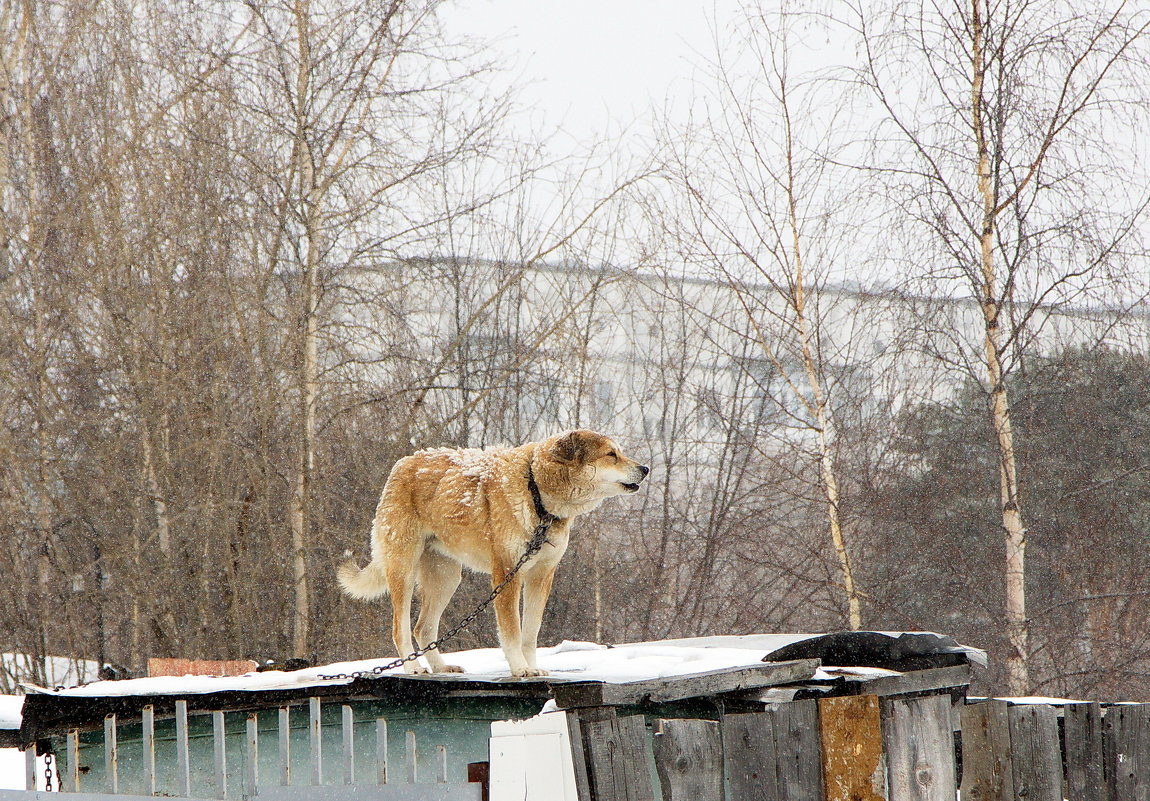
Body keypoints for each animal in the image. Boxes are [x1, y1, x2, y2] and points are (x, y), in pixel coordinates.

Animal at [338, 427, 648, 671]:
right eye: (611, 454)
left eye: (619, 452)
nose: (645, 469)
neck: (536, 493)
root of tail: (402, 464)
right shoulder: (507, 574)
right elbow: (511, 632)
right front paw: (520, 670)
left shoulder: (541, 576)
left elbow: (530, 633)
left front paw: (533, 669)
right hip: (404, 572)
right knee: (400, 629)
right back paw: (414, 669)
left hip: (446, 578)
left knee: (423, 628)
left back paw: (441, 668)